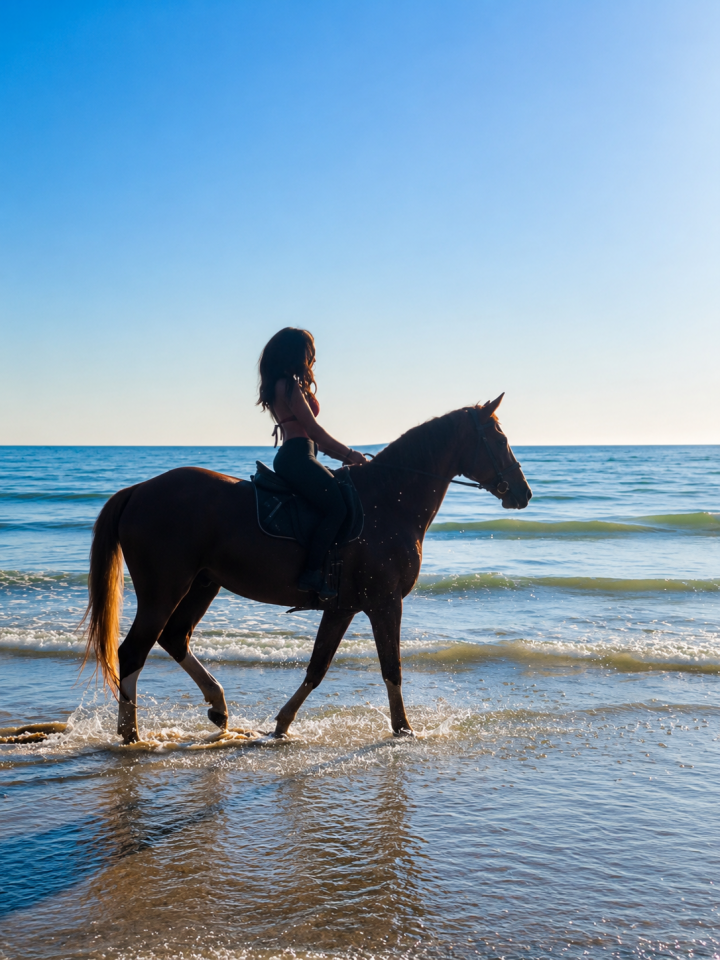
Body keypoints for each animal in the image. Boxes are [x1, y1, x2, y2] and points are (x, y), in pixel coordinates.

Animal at [83, 394, 531, 743]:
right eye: (500, 439)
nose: (523, 493)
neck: (389, 500)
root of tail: (138, 491)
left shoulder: (342, 607)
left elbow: (318, 666)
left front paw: (282, 725)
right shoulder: (384, 603)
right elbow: (391, 668)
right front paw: (403, 729)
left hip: (202, 584)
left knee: (174, 638)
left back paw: (218, 708)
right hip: (164, 588)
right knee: (134, 650)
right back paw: (131, 734)